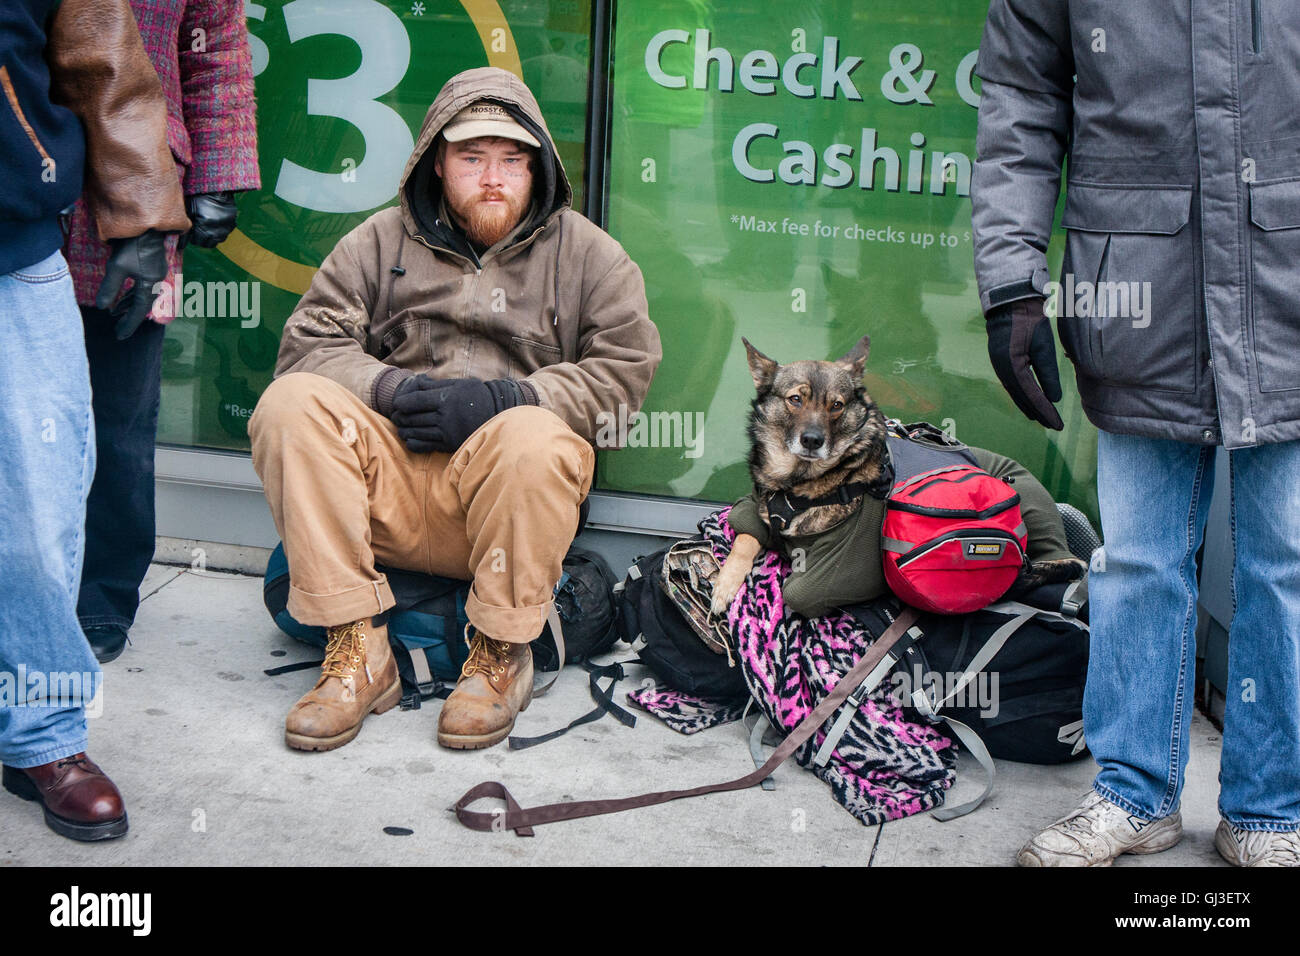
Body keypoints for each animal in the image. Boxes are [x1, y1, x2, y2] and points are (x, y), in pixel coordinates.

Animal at [712, 335, 1086, 621]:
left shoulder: (827, 582)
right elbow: (745, 538)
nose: (813, 441)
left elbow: (793, 588)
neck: (798, 484)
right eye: (795, 399)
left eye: (837, 405)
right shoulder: (756, 513)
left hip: (1034, 512)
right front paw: (725, 585)